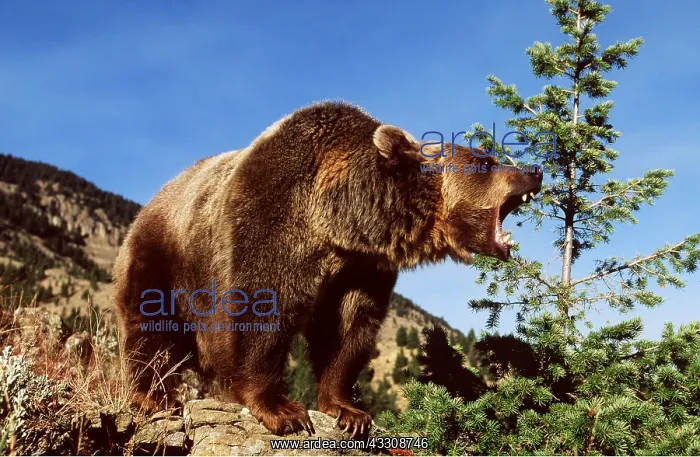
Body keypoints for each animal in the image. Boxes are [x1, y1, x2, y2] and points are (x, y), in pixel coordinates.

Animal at [112, 100, 543, 439]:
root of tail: (153, 200)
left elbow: (348, 329)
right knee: (150, 328)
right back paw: (153, 395)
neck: (338, 221)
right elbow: (257, 312)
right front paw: (283, 410)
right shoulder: (270, 224)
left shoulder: (360, 269)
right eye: (487, 160)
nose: (535, 170)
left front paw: (348, 411)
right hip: (164, 257)